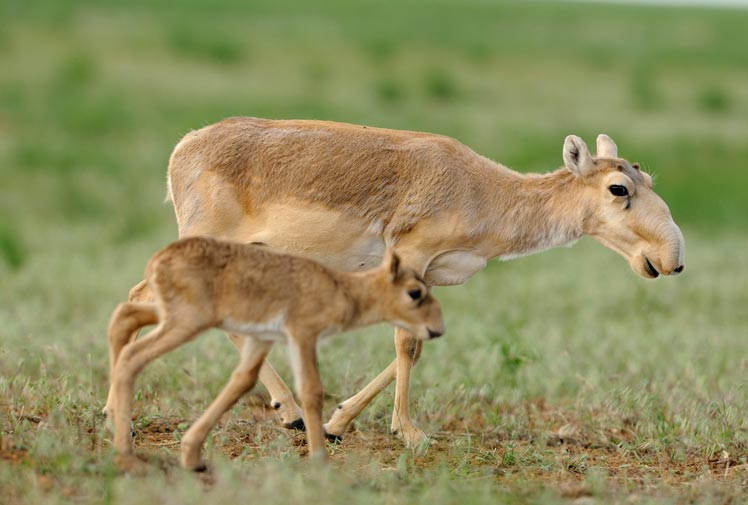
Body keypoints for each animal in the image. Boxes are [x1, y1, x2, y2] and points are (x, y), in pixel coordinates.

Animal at [121, 117, 684, 444]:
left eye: (647, 177)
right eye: (618, 188)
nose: (672, 259)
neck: (485, 191)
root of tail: (183, 147)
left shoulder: (430, 276)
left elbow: (418, 342)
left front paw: (338, 421)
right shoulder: (410, 258)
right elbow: (406, 344)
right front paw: (409, 433)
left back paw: (292, 414)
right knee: (146, 298)